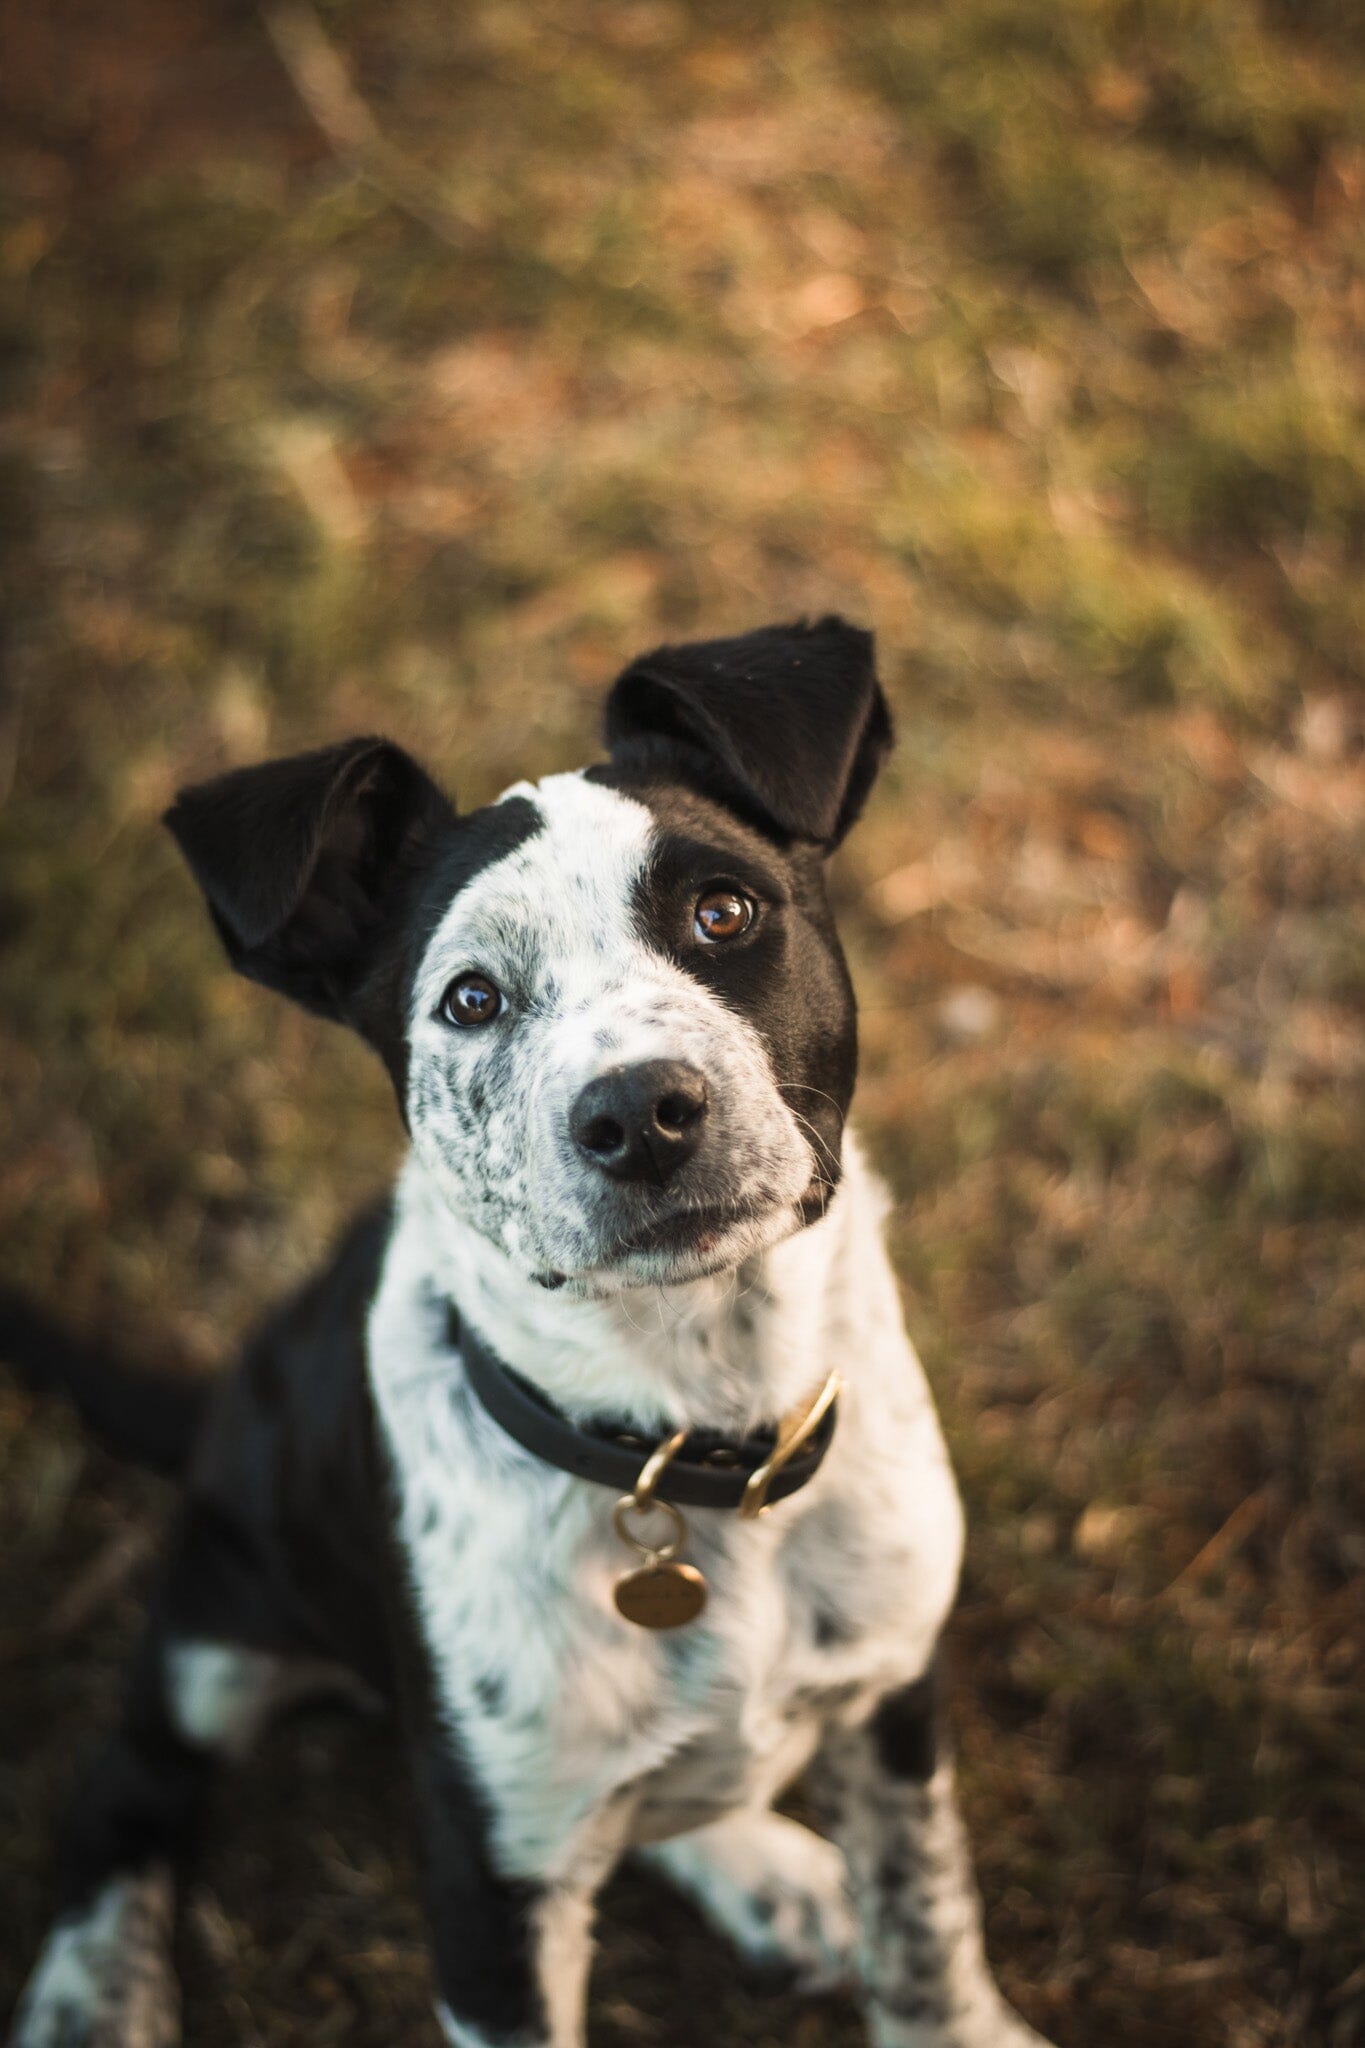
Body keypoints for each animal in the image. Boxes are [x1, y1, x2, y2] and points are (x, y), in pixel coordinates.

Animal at [5, 618, 1055, 2048]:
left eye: (724, 910)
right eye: (469, 1000)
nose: (642, 1111)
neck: (691, 1429)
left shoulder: (896, 1697)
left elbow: (930, 1928)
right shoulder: (481, 1875)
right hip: (219, 1630)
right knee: (124, 1781)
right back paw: (89, 1990)